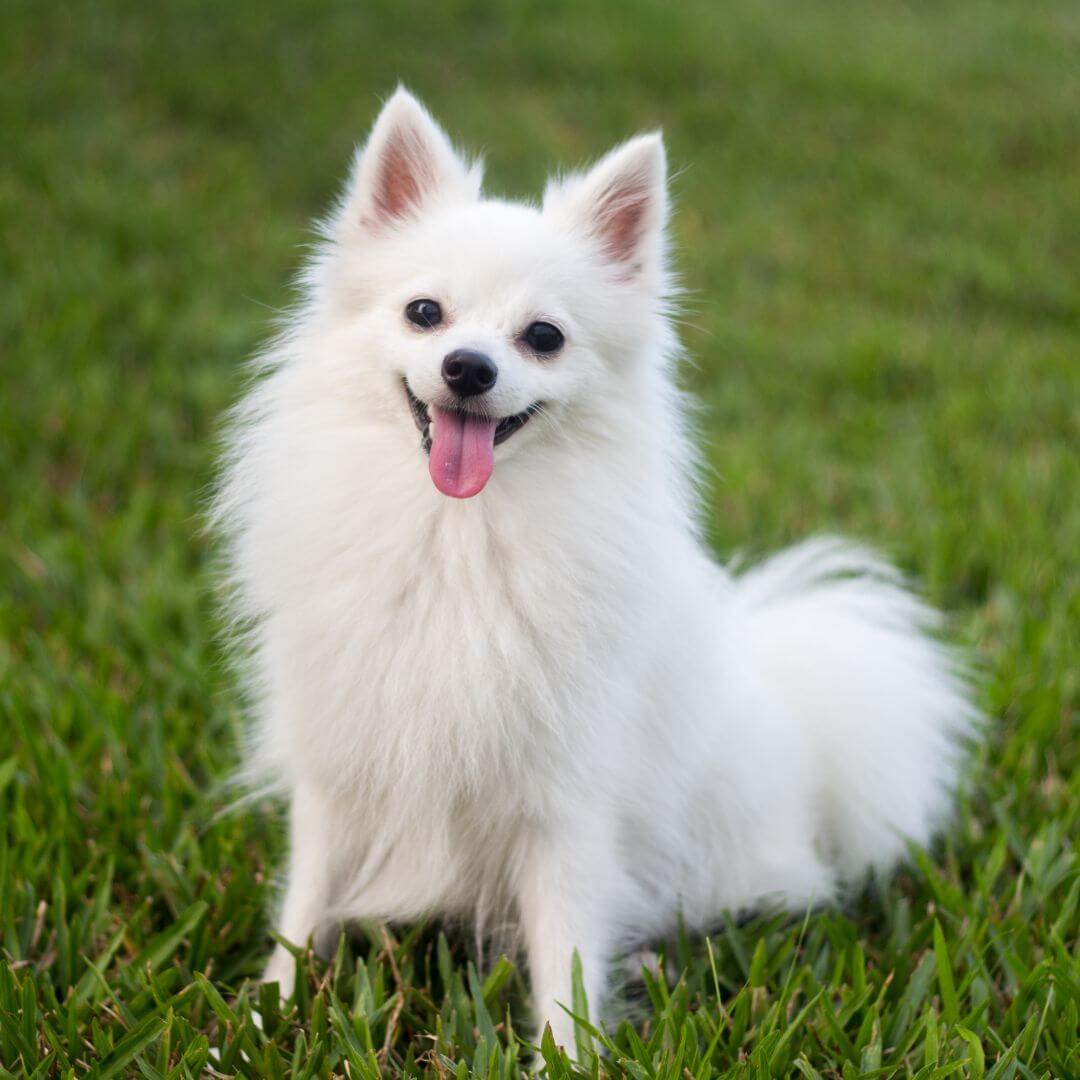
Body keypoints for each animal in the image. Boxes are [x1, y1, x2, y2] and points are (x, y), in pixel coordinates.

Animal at [214, 88, 976, 1049]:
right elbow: (305, 901)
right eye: (424, 313)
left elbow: (566, 952)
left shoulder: (565, 802)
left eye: (543, 337)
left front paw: (566, 1053)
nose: (469, 366)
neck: (457, 535)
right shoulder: (339, 762)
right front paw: (267, 1011)